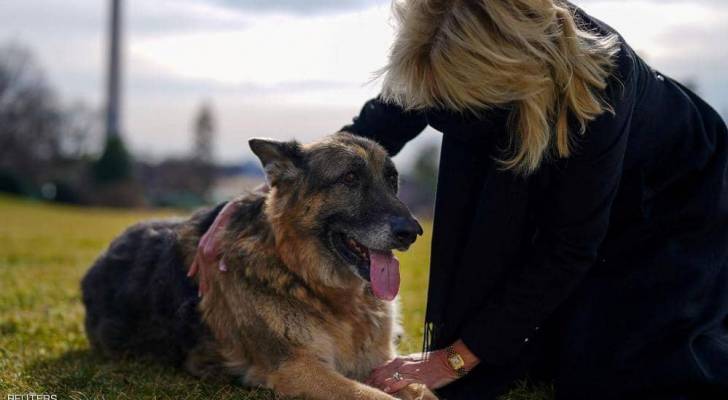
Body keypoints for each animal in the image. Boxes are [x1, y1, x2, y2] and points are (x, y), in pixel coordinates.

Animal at [82, 133, 436, 398]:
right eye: (349, 178)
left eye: (392, 180)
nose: (412, 232)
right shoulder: (298, 368)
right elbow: (375, 396)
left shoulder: (382, 363)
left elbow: (421, 389)